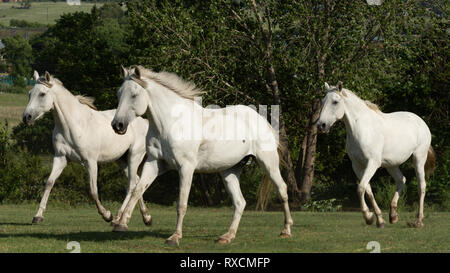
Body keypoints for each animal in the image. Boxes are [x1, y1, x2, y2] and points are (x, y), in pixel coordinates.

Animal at [23, 70, 153, 225]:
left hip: (134, 156)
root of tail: (144, 121)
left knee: (132, 185)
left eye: (42, 94)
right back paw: (146, 217)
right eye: (30, 93)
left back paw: (117, 218)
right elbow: (49, 183)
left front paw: (106, 215)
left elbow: (93, 191)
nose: (26, 117)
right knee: (137, 182)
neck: (73, 125)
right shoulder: (60, 158)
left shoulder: (90, 162)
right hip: (122, 160)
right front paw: (38, 216)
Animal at [109, 65, 292, 244]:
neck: (172, 123)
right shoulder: (154, 163)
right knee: (240, 202)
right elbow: (137, 190)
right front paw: (122, 223)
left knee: (282, 190)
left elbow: (181, 204)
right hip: (229, 171)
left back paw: (286, 230)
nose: (117, 125)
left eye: (134, 94)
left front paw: (175, 237)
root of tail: (262, 120)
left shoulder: (186, 168)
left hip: (268, 163)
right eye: (118, 93)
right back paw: (228, 236)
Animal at [316, 81, 436, 227]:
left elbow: (361, 188)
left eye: (335, 102)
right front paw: (377, 219)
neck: (361, 129)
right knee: (401, 180)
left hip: (418, 158)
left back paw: (418, 221)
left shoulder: (372, 163)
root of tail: (421, 122)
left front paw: (369, 217)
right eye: (323, 102)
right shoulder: (357, 166)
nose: (321, 125)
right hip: (391, 164)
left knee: (421, 186)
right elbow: (368, 190)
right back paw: (393, 215)